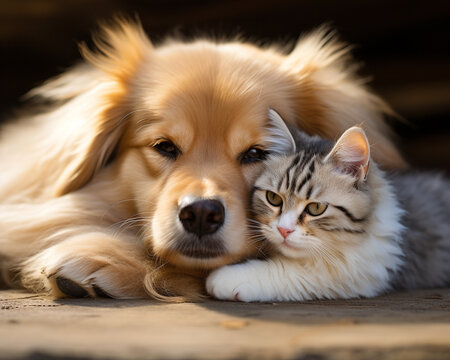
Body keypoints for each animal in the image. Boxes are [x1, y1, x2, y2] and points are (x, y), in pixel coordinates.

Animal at [207, 125, 450, 302]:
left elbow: (290, 272)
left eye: (316, 208)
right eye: (273, 198)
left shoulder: (364, 269)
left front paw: (225, 279)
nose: (284, 230)